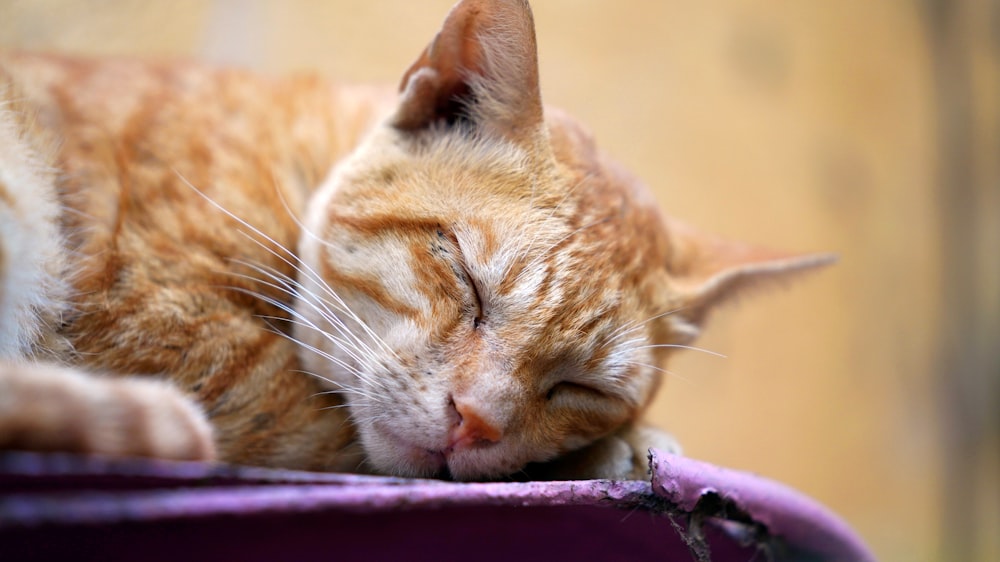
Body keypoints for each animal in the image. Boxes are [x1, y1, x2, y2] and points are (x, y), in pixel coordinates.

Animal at [0, 0, 832, 480]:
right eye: (464, 276)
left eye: (581, 387)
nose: (476, 423)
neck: (299, 170)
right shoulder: (154, 319)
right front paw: (620, 448)